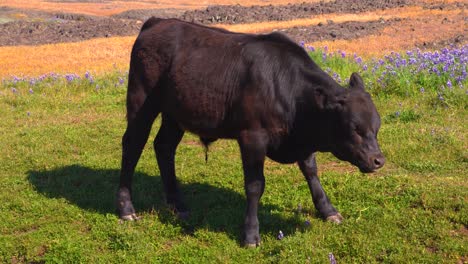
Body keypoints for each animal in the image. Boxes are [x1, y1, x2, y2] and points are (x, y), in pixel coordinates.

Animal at [117, 18, 384, 248]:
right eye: (355, 128)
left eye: (376, 126)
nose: (378, 160)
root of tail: (158, 22)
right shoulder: (252, 137)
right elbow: (255, 185)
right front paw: (251, 234)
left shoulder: (303, 139)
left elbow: (311, 171)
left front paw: (328, 210)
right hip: (141, 102)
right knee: (132, 145)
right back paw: (126, 208)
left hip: (175, 115)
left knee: (164, 147)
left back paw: (177, 203)